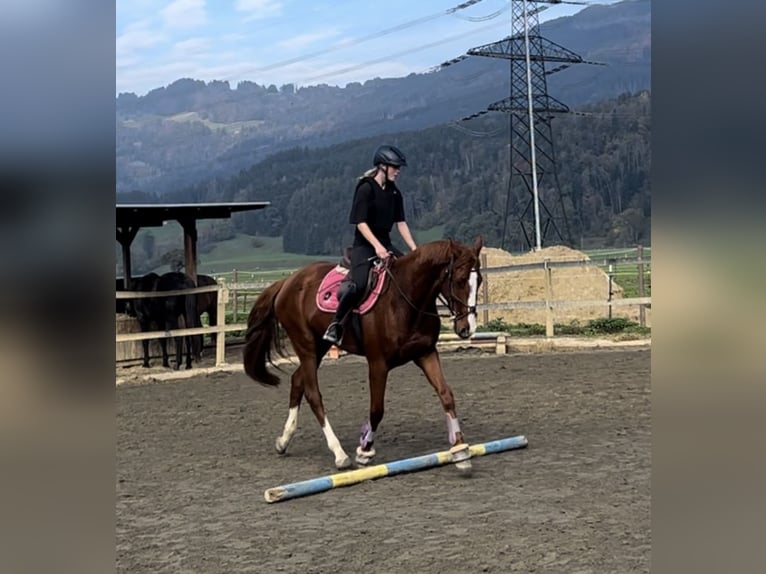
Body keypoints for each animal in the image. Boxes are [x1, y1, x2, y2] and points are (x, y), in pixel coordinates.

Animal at [244, 236, 486, 474]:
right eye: (460, 280)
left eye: (480, 280)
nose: (467, 329)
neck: (405, 299)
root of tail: (286, 282)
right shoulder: (378, 363)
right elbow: (377, 409)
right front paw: (364, 451)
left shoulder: (426, 353)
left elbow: (446, 395)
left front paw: (460, 451)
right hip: (306, 346)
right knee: (313, 394)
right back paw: (339, 454)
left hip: (320, 347)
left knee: (297, 381)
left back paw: (283, 441)